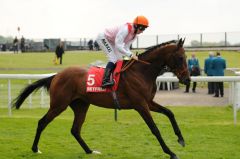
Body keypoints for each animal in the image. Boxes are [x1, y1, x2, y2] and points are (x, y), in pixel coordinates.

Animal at [12, 38, 190, 159]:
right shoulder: (140, 104)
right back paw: (35, 148)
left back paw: (89, 150)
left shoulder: (148, 102)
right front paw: (171, 152)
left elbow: (169, 112)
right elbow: (154, 129)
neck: (141, 72)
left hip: (81, 105)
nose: (187, 80)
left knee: (75, 129)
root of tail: (56, 75)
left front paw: (181, 139)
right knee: (42, 122)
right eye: (181, 58)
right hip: (59, 104)